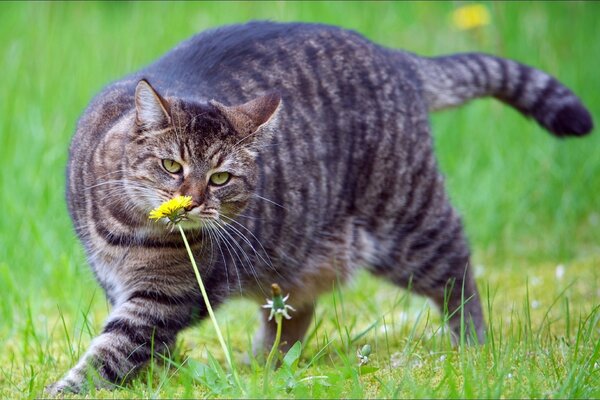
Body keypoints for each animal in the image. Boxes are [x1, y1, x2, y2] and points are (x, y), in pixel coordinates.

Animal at [47, 20, 592, 392]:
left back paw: (472, 343)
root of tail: (392, 56)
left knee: (457, 266)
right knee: (293, 310)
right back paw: (263, 367)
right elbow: (141, 346)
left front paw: (71, 388)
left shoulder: (167, 295)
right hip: (296, 252)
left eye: (220, 178)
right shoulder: (115, 282)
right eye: (171, 166)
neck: (129, 230)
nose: (193, 202)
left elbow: (116, 348)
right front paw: (158, 376)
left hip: (407, 221)